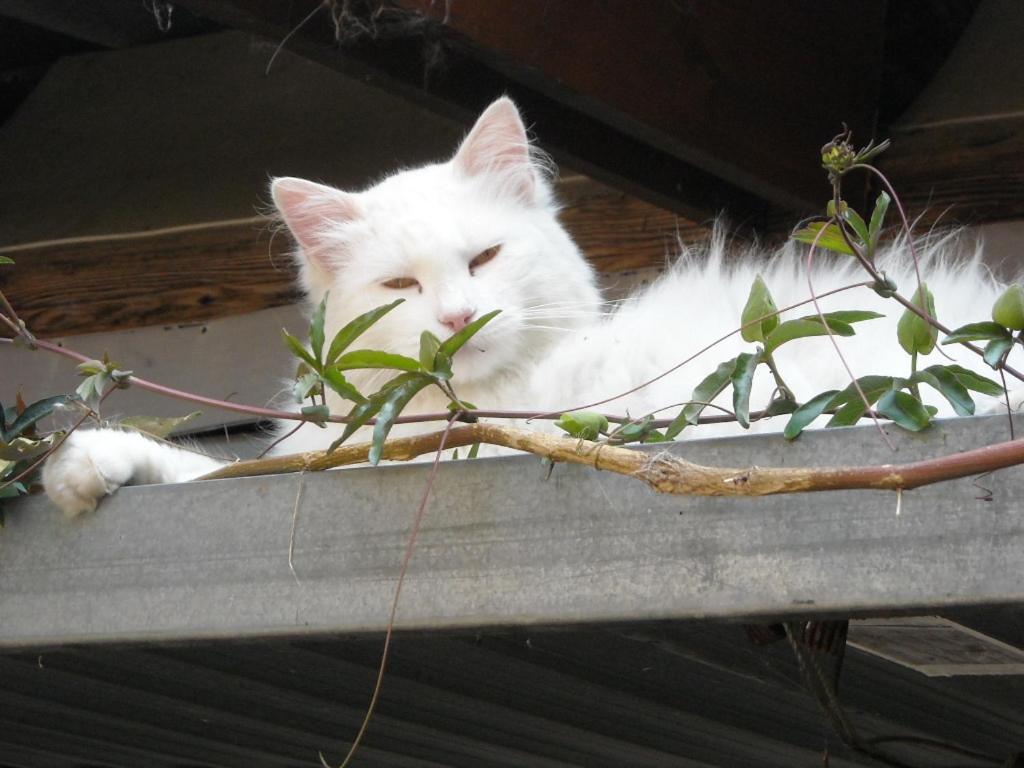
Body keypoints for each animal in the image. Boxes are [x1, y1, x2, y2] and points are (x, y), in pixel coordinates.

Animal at [41, 97, 1015, 518]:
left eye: (483, 260)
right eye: (400, 289)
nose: (454, 321)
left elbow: (225, 471)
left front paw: (93, 457)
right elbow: (222, 470)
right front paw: (87, 467)